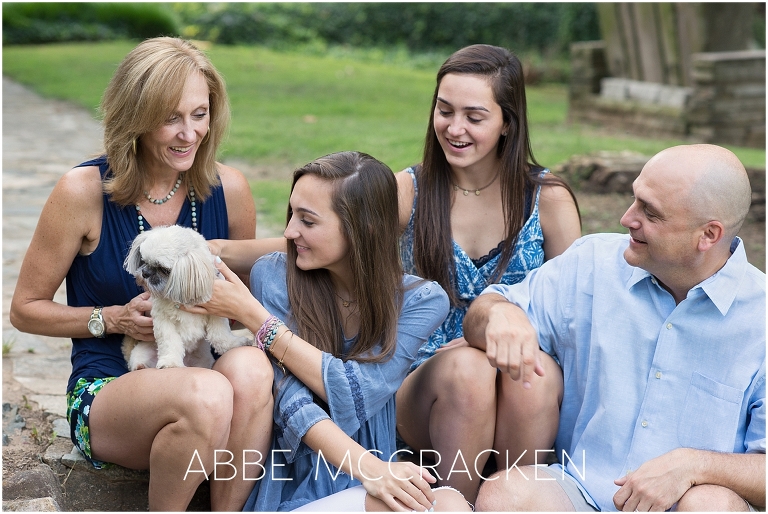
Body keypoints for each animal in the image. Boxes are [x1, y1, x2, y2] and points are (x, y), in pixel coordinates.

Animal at [121, 224, 250, 368]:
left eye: (164, 269)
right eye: (144, 261)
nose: (145, 273)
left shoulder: (217, 313)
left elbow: (220, 335)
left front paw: (234, 344)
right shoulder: (163, 320)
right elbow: (169, 342)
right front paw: (170, 362)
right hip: (142, 354)